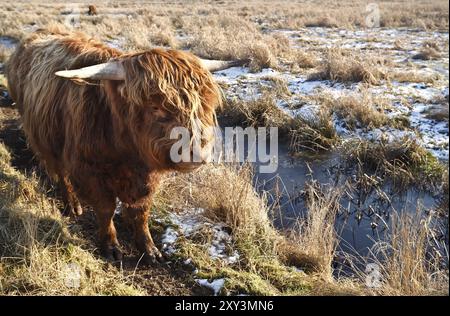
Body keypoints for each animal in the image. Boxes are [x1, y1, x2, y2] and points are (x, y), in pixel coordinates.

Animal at [6, 28, 246, 262]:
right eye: (155, 107)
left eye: (204, 103)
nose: (196, 153)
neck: (128, 152)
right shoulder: (89, 171)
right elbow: (106, 209)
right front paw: (110, 246)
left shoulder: (148, 178)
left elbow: (141, 212)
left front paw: (149, 248)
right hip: (46, 140)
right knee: (61, 174)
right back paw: (73, 206)